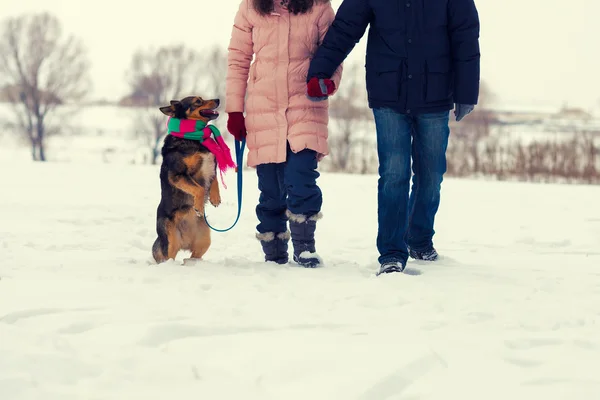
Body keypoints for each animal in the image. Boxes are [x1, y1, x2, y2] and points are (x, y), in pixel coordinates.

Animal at [152, 95, 223, 264]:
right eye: (198, 101)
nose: (218, 99)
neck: (195, 137)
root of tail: (185, 241)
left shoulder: (211, 166)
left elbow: (214, 180)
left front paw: (215, 198)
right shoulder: (178, 175)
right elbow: (199, 188)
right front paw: (198, 206)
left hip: (204, 240)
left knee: (191, 257)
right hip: (170, 240)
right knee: (169, 257)